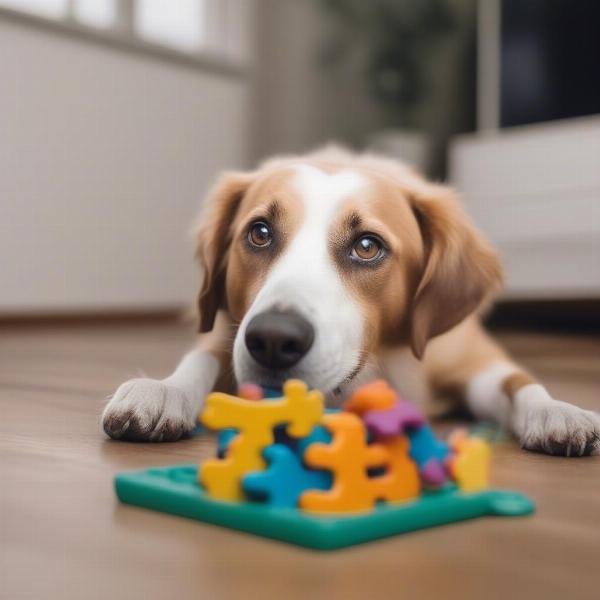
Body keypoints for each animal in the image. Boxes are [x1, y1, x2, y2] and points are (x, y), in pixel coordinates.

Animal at [102, 145, 600, 454]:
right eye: (259, 233)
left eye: (366, 246)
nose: (273, 340)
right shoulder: (229, 332)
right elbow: (200, 359)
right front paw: (163, 391)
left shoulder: (472, 356)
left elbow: (518, 382)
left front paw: (557, 411)